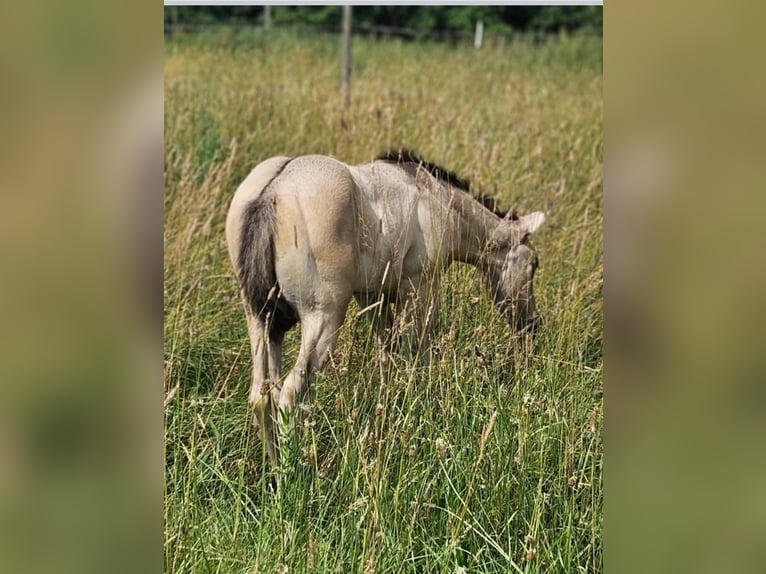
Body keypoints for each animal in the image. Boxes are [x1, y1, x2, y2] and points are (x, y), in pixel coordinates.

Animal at [225, 150, 545, 465]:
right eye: (534, 264)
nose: (532, 324)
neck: (436, 197)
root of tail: (274, 190)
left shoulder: (371, 297)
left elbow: (387, 356)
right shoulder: (421, 288)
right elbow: (418, 355)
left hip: (261, 322)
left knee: (263, 395)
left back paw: (274, 468)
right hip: (323, 318)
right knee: (291, 392)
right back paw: (292, 467)